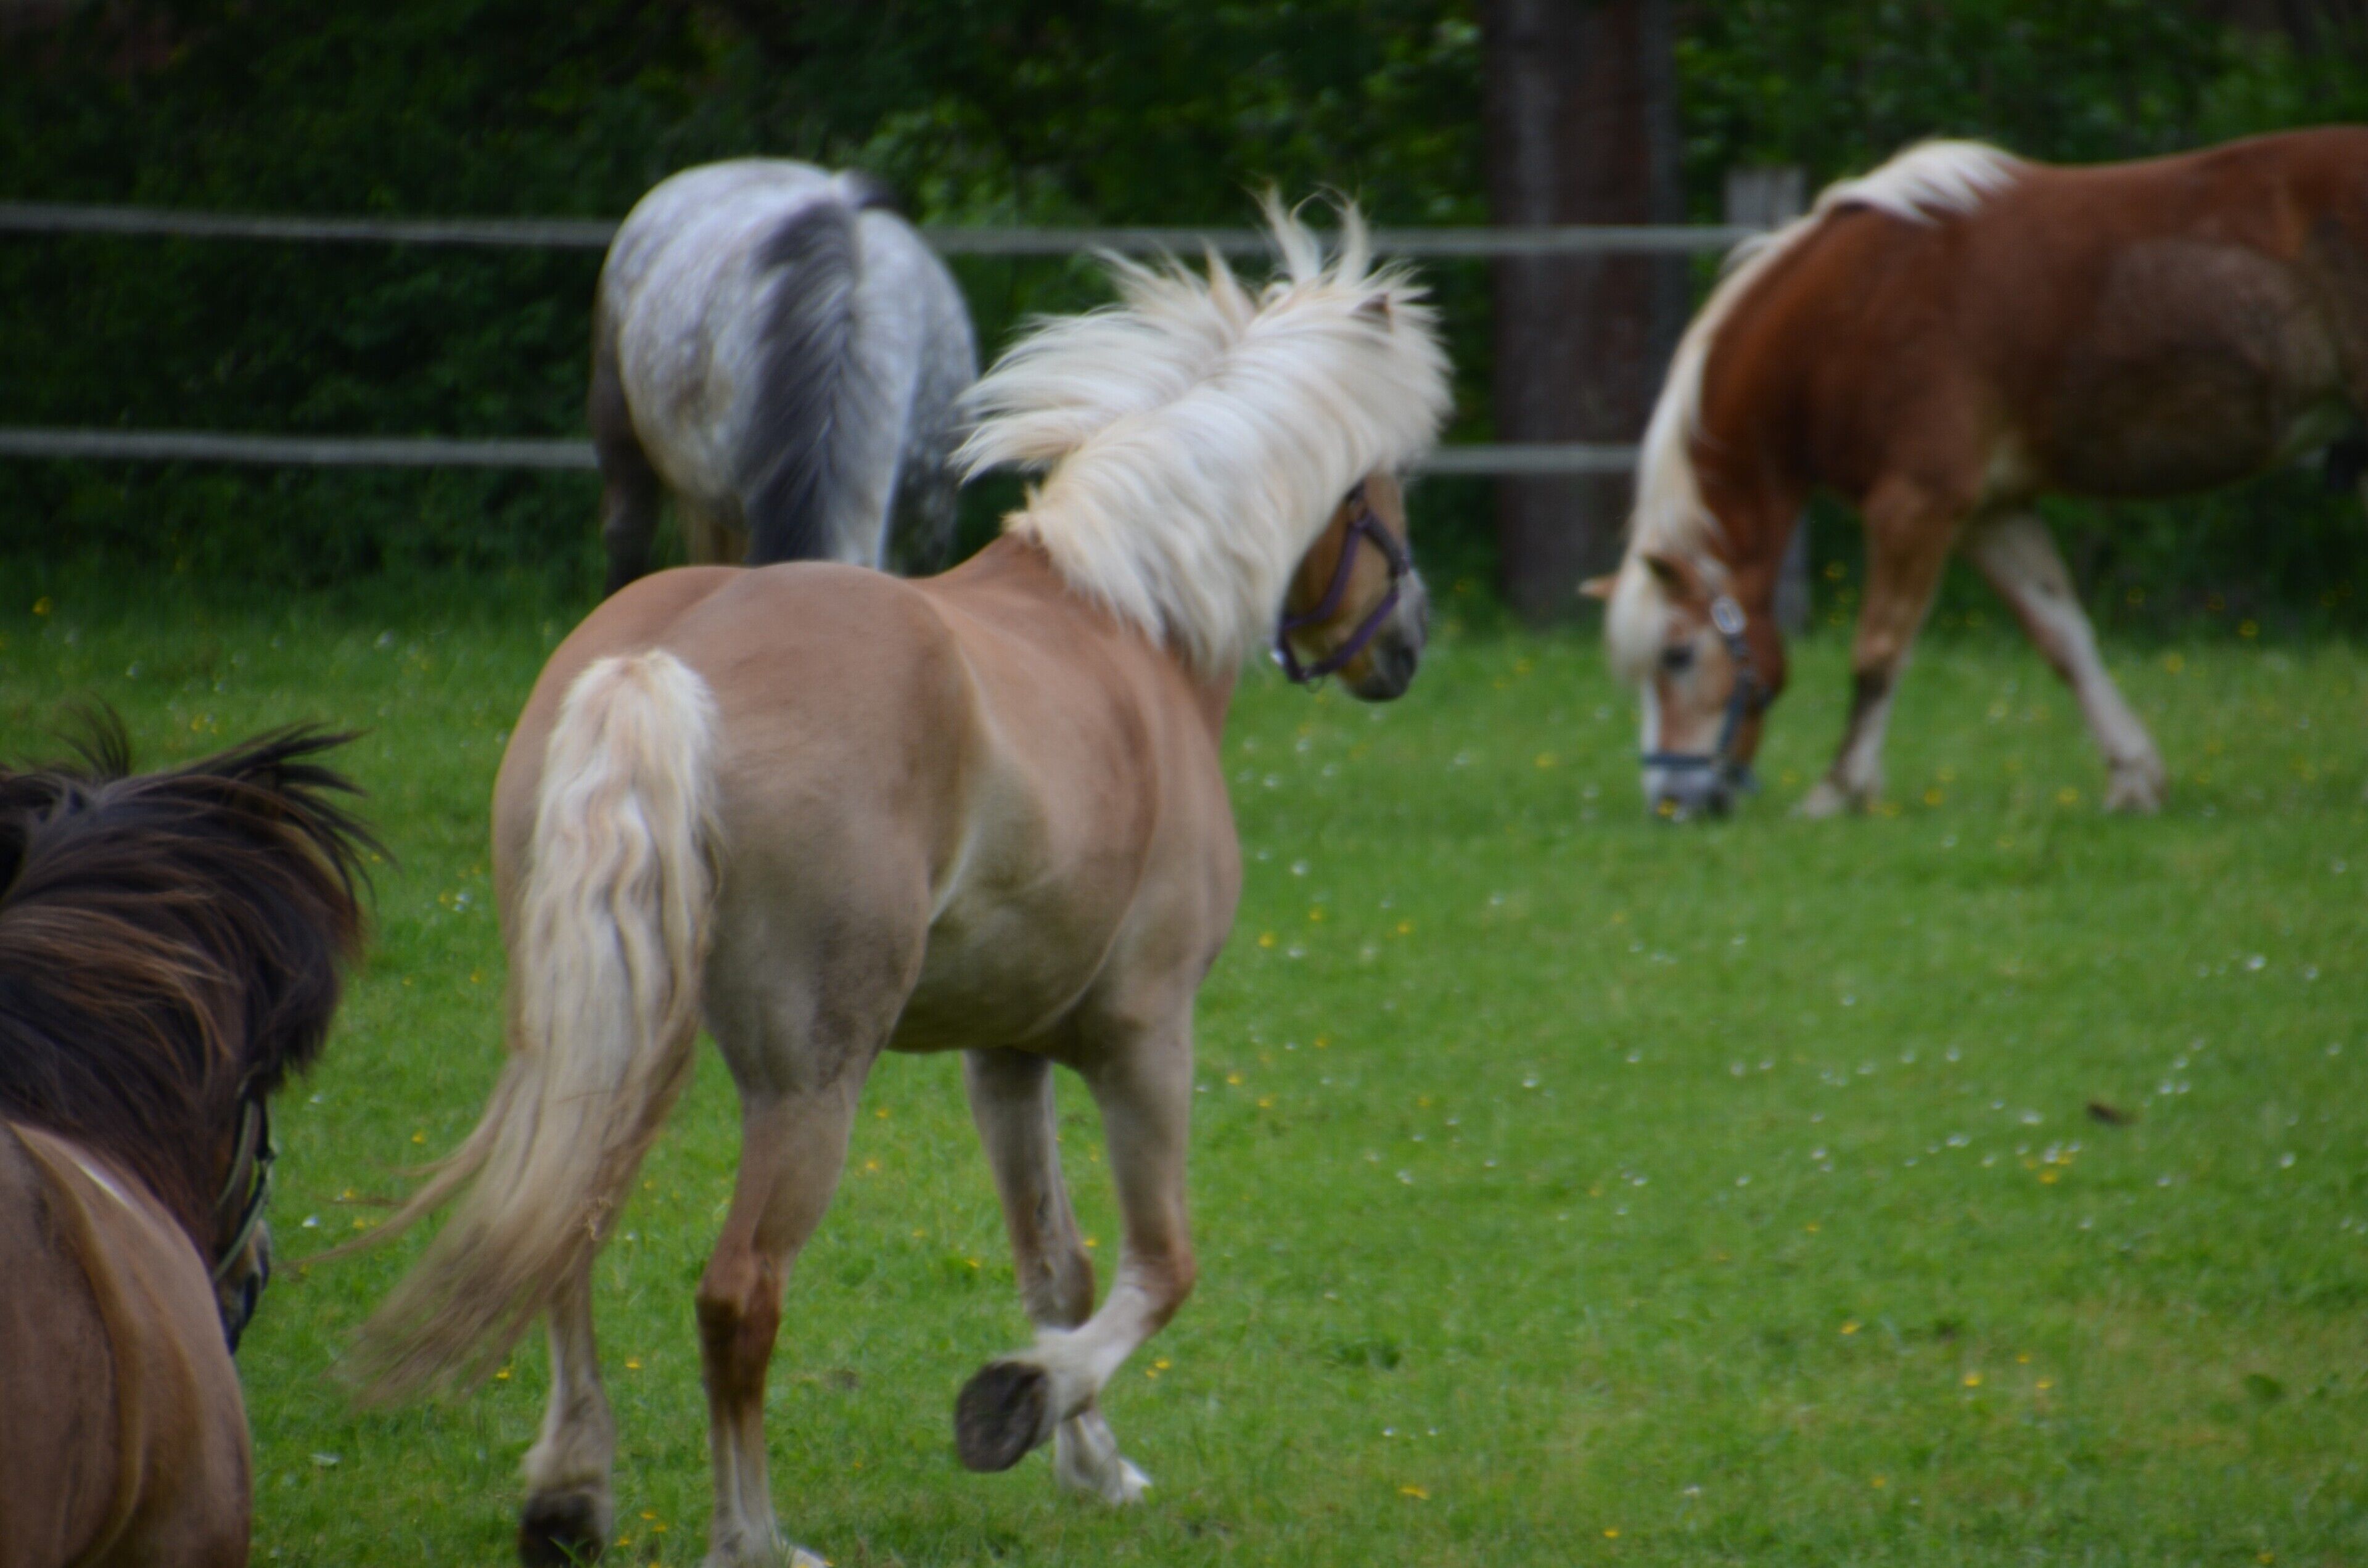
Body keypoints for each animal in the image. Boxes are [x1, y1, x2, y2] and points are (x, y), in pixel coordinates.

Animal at [1589, 128, 2368, 818]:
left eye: (1677, 655)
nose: (1671, 801)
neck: (1856, 308)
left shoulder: (1917, 503)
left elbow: (1878, 650)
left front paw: (1839, 790)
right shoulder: (1992, 512)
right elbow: (2064, 638)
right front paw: (2134, 779)